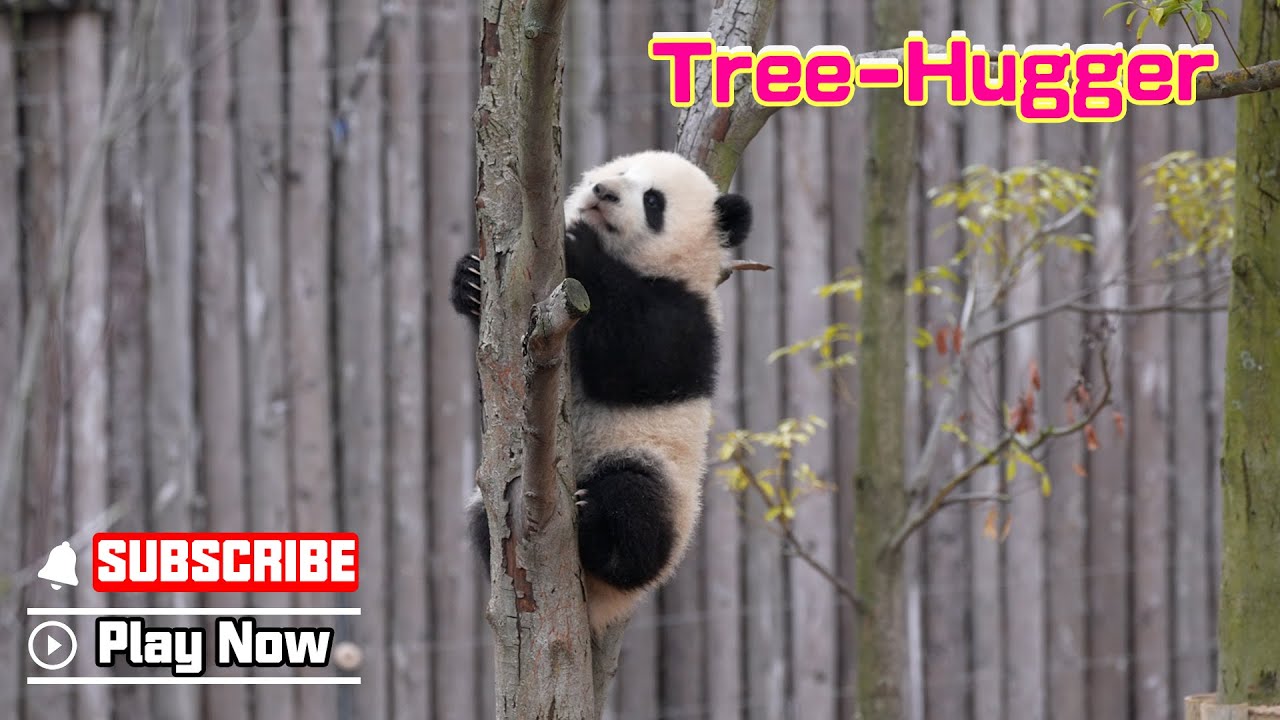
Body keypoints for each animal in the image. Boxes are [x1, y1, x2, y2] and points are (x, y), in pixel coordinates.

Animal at [449, 149, 752, 634]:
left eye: (653, 201)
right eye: (620, 172)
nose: (603, 192)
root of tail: (601, 605)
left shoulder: (688, 317)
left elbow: (640, 359)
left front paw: (579, 245)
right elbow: (496, 363)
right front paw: (469, 280)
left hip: (663, 482)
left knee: (636, 508)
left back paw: (597, 531)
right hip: (493, 503)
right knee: (484, 522)